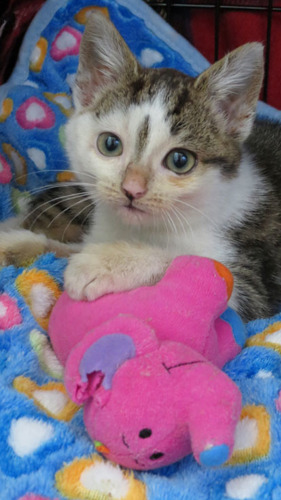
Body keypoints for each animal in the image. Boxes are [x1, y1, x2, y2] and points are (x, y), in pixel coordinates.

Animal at [0, 14, 280, 324]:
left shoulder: (255, 288)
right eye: (110, 144)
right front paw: (15, 244)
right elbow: (64, 248)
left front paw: (105, 262)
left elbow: (192, 262)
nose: (131, 189)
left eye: (180, 161)